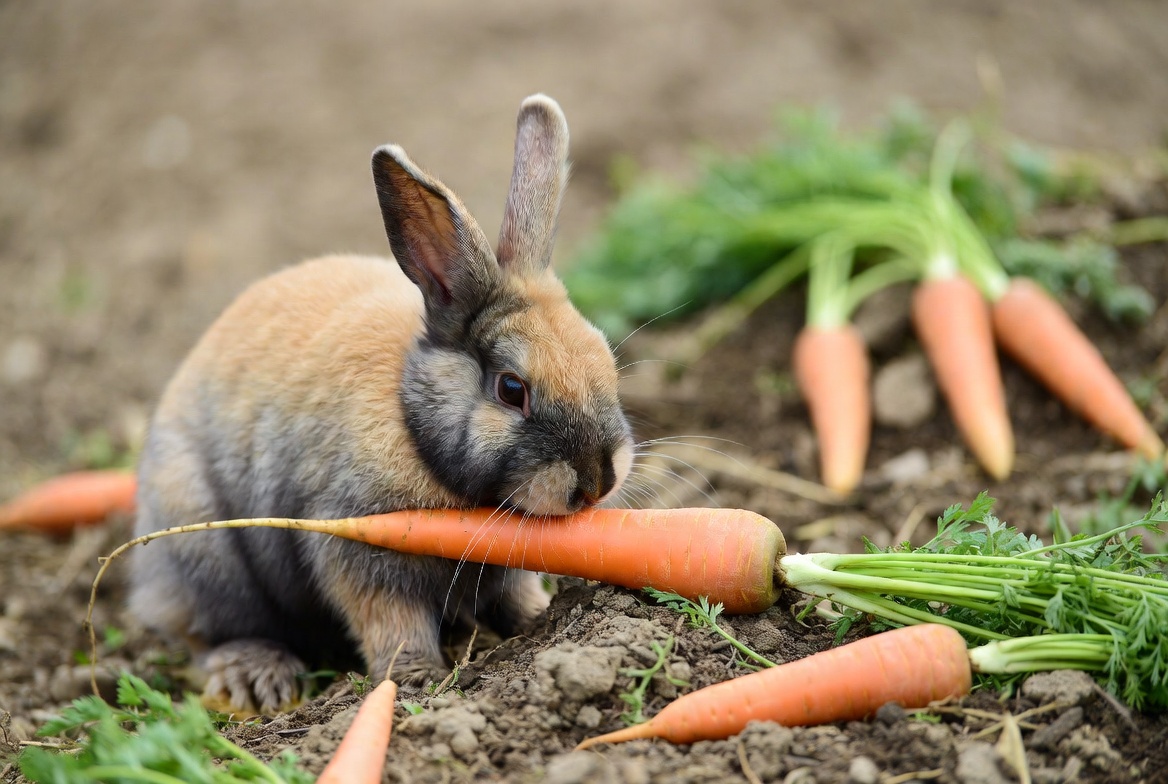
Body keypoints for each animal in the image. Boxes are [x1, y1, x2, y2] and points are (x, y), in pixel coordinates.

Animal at [127, 94, 634, 713]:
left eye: (605, 353)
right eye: (512, 389)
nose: (597, 481)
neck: (414, 425)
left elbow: (514, 595)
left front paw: (539, 618)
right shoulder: (361, 552)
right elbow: (391, 622)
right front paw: (416, 679)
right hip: (204, 550)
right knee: (212, 629)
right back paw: (258, 675)